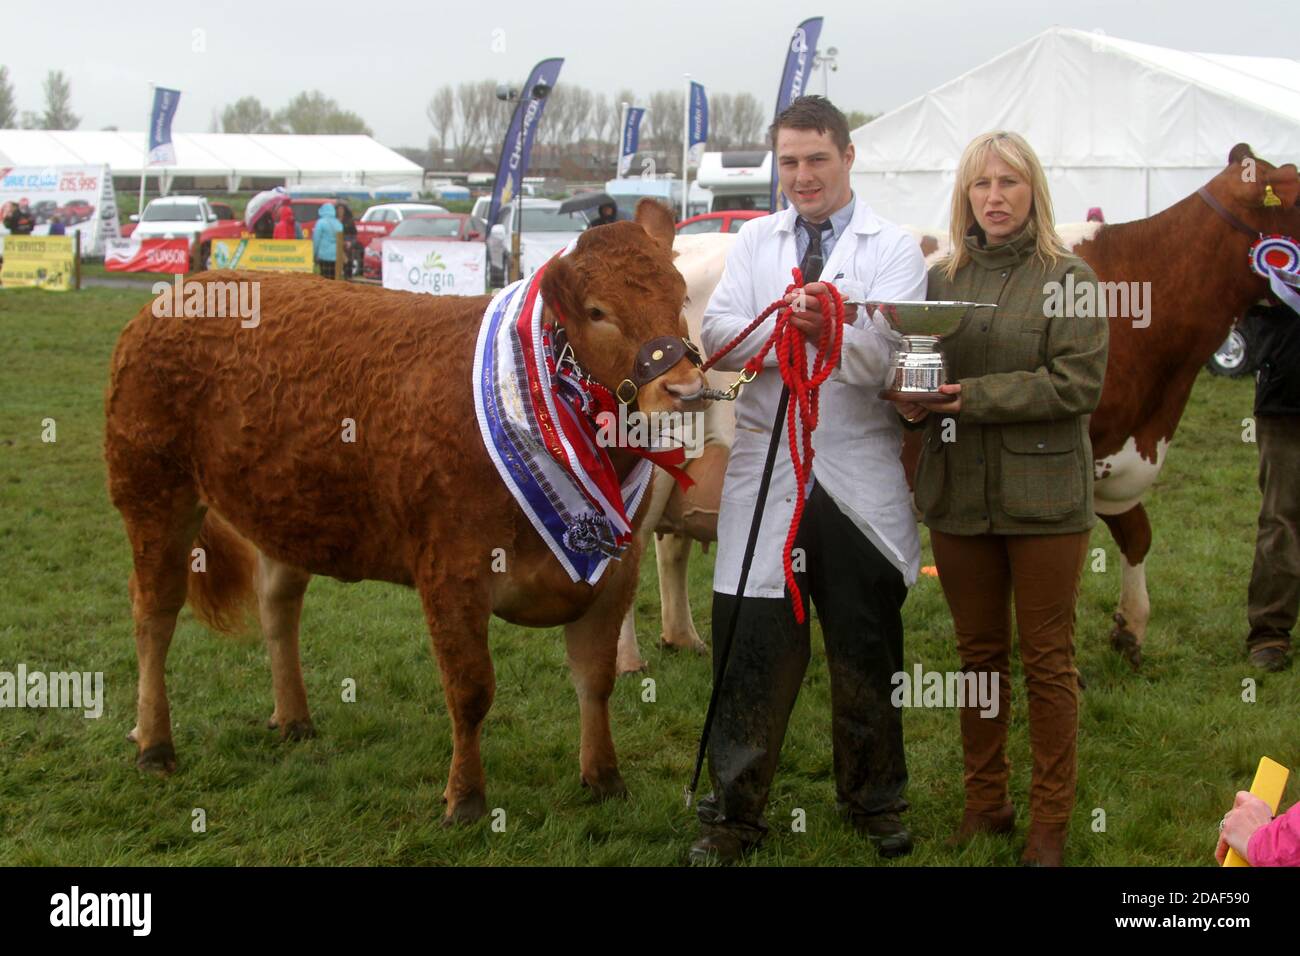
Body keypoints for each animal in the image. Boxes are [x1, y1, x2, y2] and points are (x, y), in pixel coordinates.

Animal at [105, 196, 707, 822]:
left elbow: (595, 679)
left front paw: (605, 778)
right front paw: (465, 798)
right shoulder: (451, 568)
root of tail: (184, 291)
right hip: (152, 492)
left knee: (277, 606)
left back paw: (292, 717)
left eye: (680, 295)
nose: (685, 391)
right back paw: (154, 744)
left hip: (286, 507)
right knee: (154, 613)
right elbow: (470, 690)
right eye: (597, 311)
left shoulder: (614, 568)